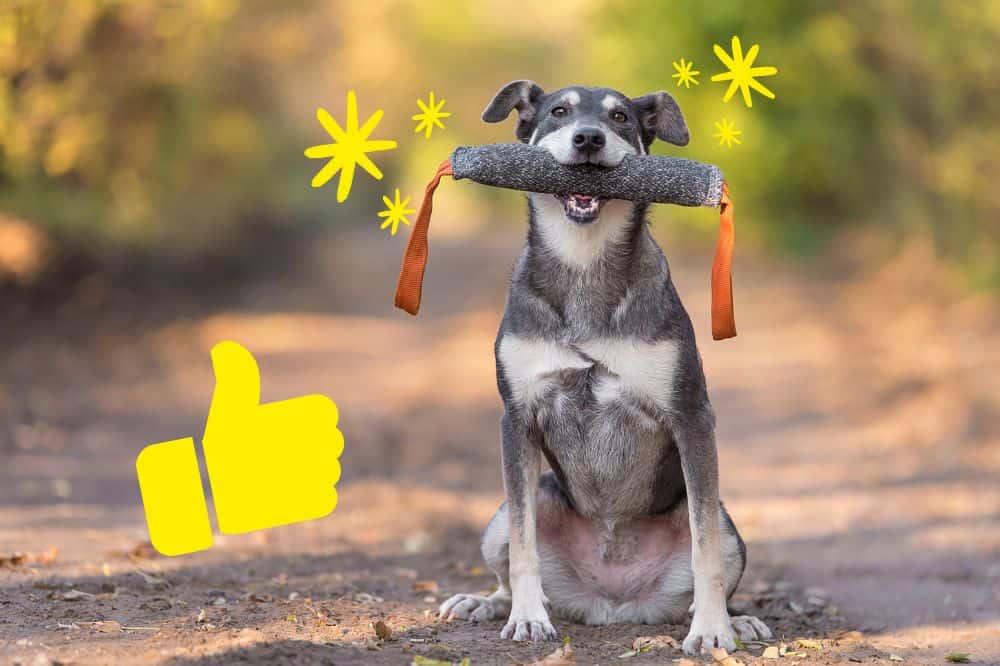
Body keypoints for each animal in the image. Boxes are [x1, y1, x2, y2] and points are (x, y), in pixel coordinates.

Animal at [438, 79, 772, 652]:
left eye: (620, 117)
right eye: (558, 111)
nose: (589, 138)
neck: (584, 263)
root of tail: (611, 603)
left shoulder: (691, 417)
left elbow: (704, 549)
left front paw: (711, 630)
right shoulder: (516, 419)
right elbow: (524, 548)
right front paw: (527, 619)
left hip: (729, 527)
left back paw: (737, 619)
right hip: (508, 512)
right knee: (510, 556)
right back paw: (486, 603)